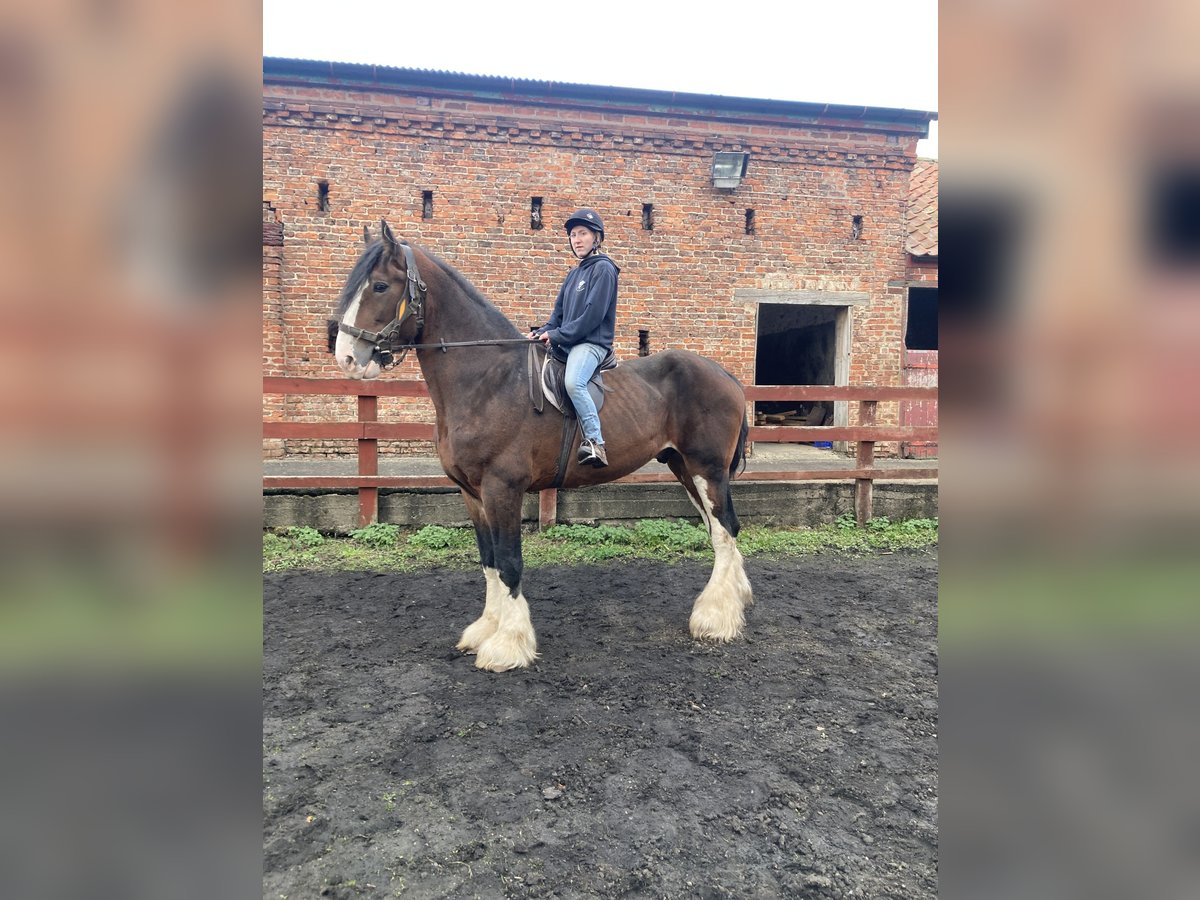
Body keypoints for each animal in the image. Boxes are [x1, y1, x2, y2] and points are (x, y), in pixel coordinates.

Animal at [331, 220, 748, 672]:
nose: (346, 358)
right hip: (683, 467)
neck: (488, 380)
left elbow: (510, 563)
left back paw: (715, 619)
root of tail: (723, 373)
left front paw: (507, 645)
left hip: (706, 469)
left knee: (723, 532)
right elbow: (489, 561)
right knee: (721, 530)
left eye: (379, 286)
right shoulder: (472, 494)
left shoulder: (502, 488)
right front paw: (485, 629)